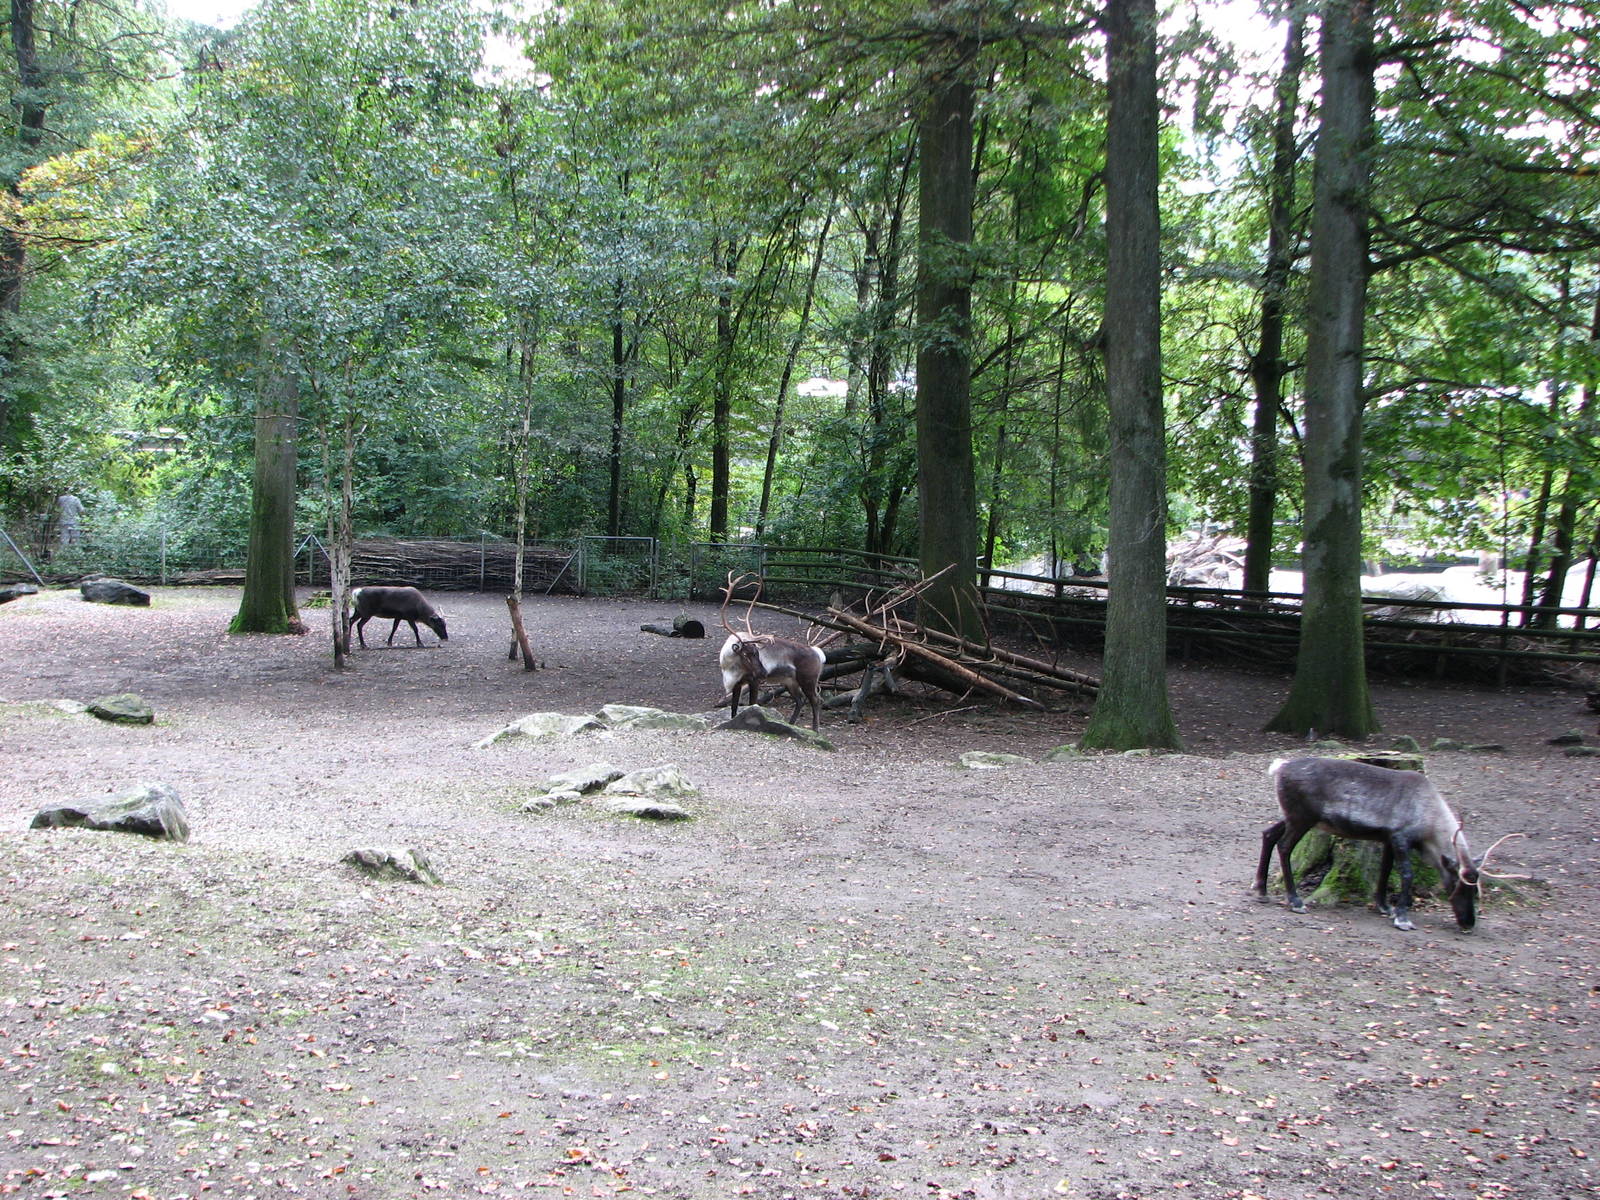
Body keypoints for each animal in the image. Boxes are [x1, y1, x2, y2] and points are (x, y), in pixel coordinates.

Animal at [718, 572, 826, 730]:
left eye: (757, 652)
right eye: (746, 654)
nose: (764, 672)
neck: (729, 666)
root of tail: (817, 652)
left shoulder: (753, 680)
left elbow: (752, 704)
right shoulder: (737, 684)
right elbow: (733, 709)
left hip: (808, 680)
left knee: (816, 700)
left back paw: (815, 730)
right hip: (790, 681)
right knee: (800, 700)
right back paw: (790, 724)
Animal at [1255, 756, 1495, 932]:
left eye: (1476, 889)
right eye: (1456, 884)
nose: (1468, 922)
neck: (1429, 823)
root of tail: (1279, 767)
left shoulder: (1388, 838)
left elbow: (1385, 869)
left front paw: (1384, 905)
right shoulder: (1401, 836)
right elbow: (1406, 874)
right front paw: (1402, 917)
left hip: (1293, 817)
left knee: (1268, 834)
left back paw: (1261, 889)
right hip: (1302, 817)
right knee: (1284, 846)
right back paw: (1295, 901)